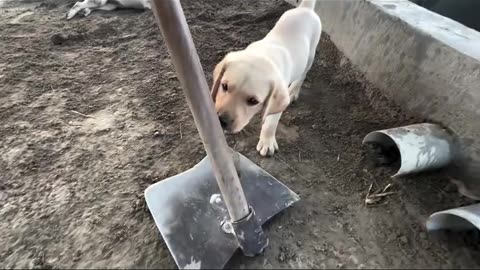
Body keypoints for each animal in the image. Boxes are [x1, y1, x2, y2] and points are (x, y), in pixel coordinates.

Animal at [211, 0, 320, 156]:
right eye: (224, 86)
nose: (221, 121)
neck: (264, 55)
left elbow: (270, 124)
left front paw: (267, 143)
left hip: (310, 55)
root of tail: (306, 8)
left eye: (253, 101)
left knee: (302, 75)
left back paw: (293, 91)